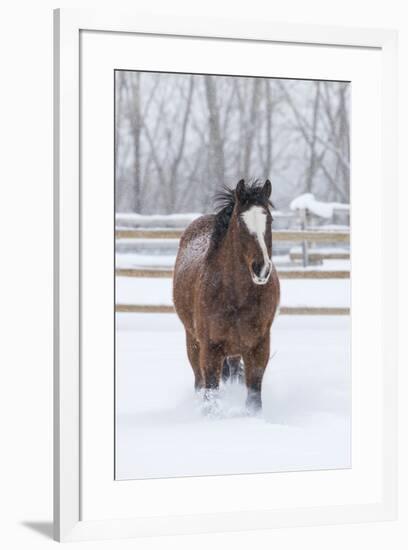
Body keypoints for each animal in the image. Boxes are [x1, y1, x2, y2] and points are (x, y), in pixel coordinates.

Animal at [172, 181, 280, 414]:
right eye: (240, 221)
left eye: (269, 219)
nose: (261, 269)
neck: (236, 297)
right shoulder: (210, 349)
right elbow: (211, 394)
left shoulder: (258, 347)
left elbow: (254, 397)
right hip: (193, 343)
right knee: (199, 383)